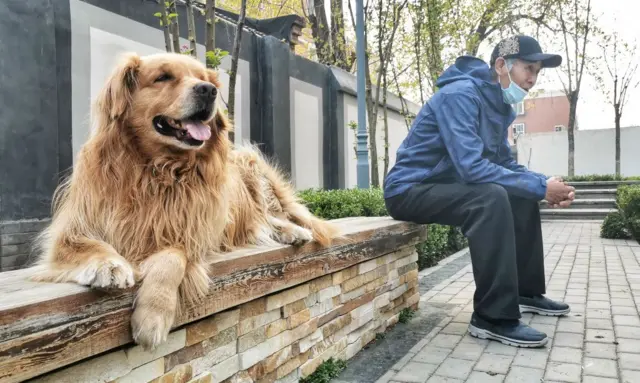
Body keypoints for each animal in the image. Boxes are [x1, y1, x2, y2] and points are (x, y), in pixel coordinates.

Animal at [31, 52, 340, 352]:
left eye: (203, 78)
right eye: (163, 77)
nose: (209, 90)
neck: (158, 170)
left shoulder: (193, 232)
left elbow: (173, 256)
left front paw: (153, 314)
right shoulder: (72, 230)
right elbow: (90, 245)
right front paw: (109, 265)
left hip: (250, 163)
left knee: (268, 216)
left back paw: (293, 231)